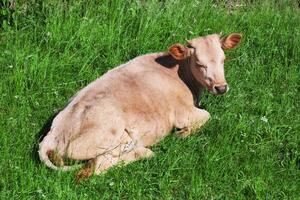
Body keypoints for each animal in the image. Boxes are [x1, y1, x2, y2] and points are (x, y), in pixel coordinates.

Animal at [38, 33, 243, 181]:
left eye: (223, 59)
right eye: (200, 63)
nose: (221, 87)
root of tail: (54, 133)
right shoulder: (183, 113)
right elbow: (207, 115)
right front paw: (182, 134)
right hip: (109, 138)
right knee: (98, 167)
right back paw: (143, 151)